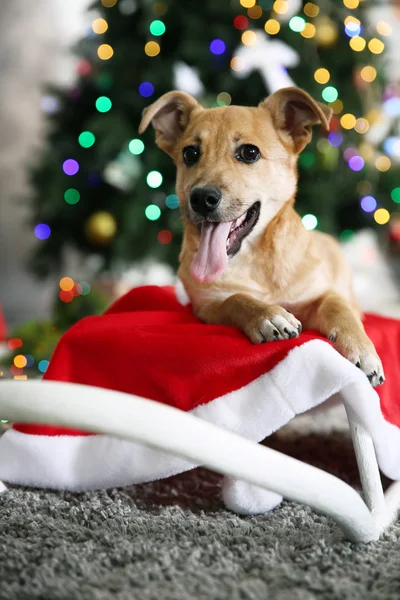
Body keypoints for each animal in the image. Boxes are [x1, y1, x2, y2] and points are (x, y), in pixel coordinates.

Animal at [140, 86, 384, 386]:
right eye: (190, 153)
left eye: (249, 152)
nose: (201, 198)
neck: (256, 261)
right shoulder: (206, 306)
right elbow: (236, 299)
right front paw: (268, 316)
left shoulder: (316, 294)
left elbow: (338, 306)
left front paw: (362, 349)